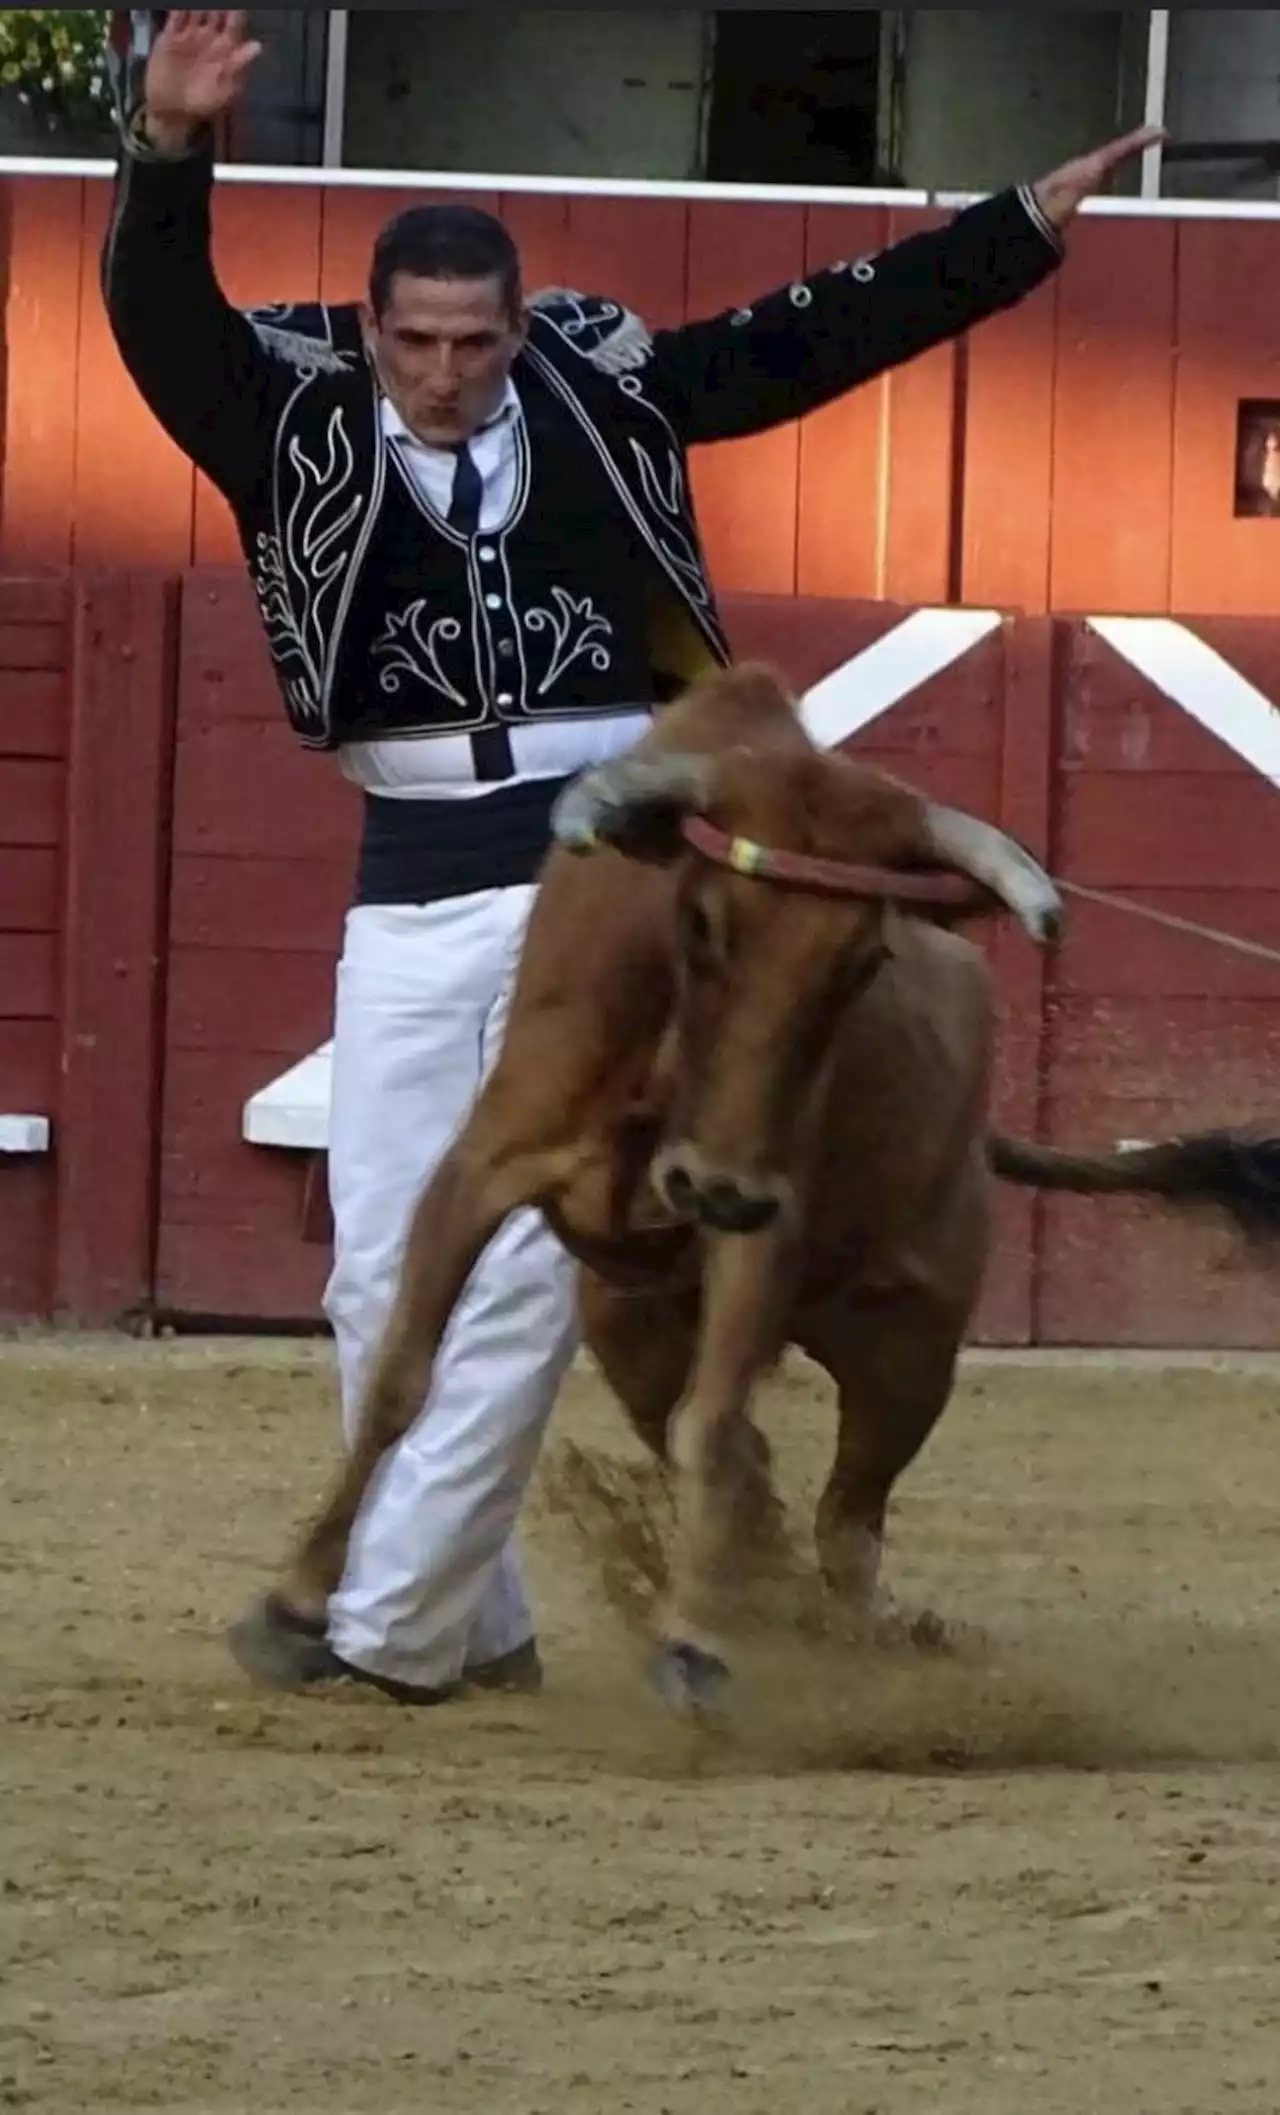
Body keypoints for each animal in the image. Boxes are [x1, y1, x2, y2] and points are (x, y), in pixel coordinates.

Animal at [262, 668, 1277, 1708]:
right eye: (704, 922)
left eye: (864, 960)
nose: (711, 1186)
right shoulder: (479, 1170)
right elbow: (398, 1374)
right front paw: (294, 1605)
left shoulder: (760, 1230)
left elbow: (710, 1428)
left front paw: (691, 1643)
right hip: (630, 1324)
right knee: (738, 1457)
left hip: (913, 1348)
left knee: (844, 1517)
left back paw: (845, 1643)